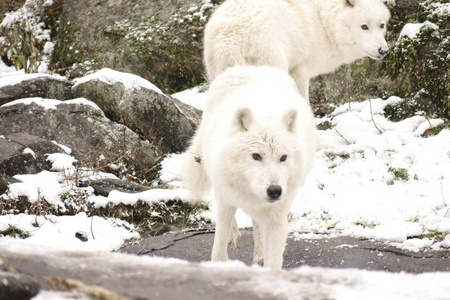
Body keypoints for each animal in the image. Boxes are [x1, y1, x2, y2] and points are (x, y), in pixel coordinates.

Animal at [179, 67, 316, 270]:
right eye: (256, 156)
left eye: (283, 158)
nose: (275, 191)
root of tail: (250, 67)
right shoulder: (226, 200)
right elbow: (218, 248)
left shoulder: (277, 218)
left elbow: (273, 261)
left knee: (258, 228)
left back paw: (258, 256)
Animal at [204, 0, 390, 99]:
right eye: (364, 26)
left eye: (381, 25)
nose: (383, 50)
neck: (323, 20)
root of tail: (230, 38)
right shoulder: (300, 69)